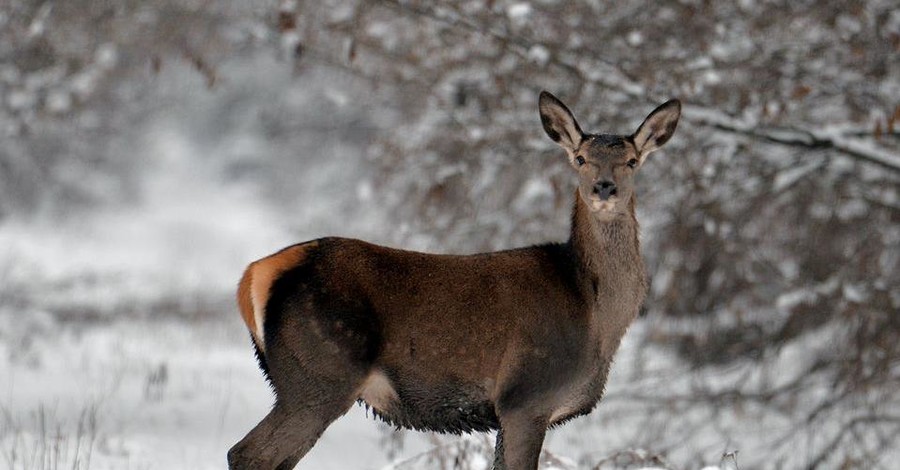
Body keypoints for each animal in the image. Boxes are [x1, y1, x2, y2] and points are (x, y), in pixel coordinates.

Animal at [229, 92, 680, 470]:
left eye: (632, 161)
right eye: (581, 158)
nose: (605, 188)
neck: (595, 316)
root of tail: (254, 275)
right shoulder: (526, 396)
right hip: (320, 372)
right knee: (249, 454)